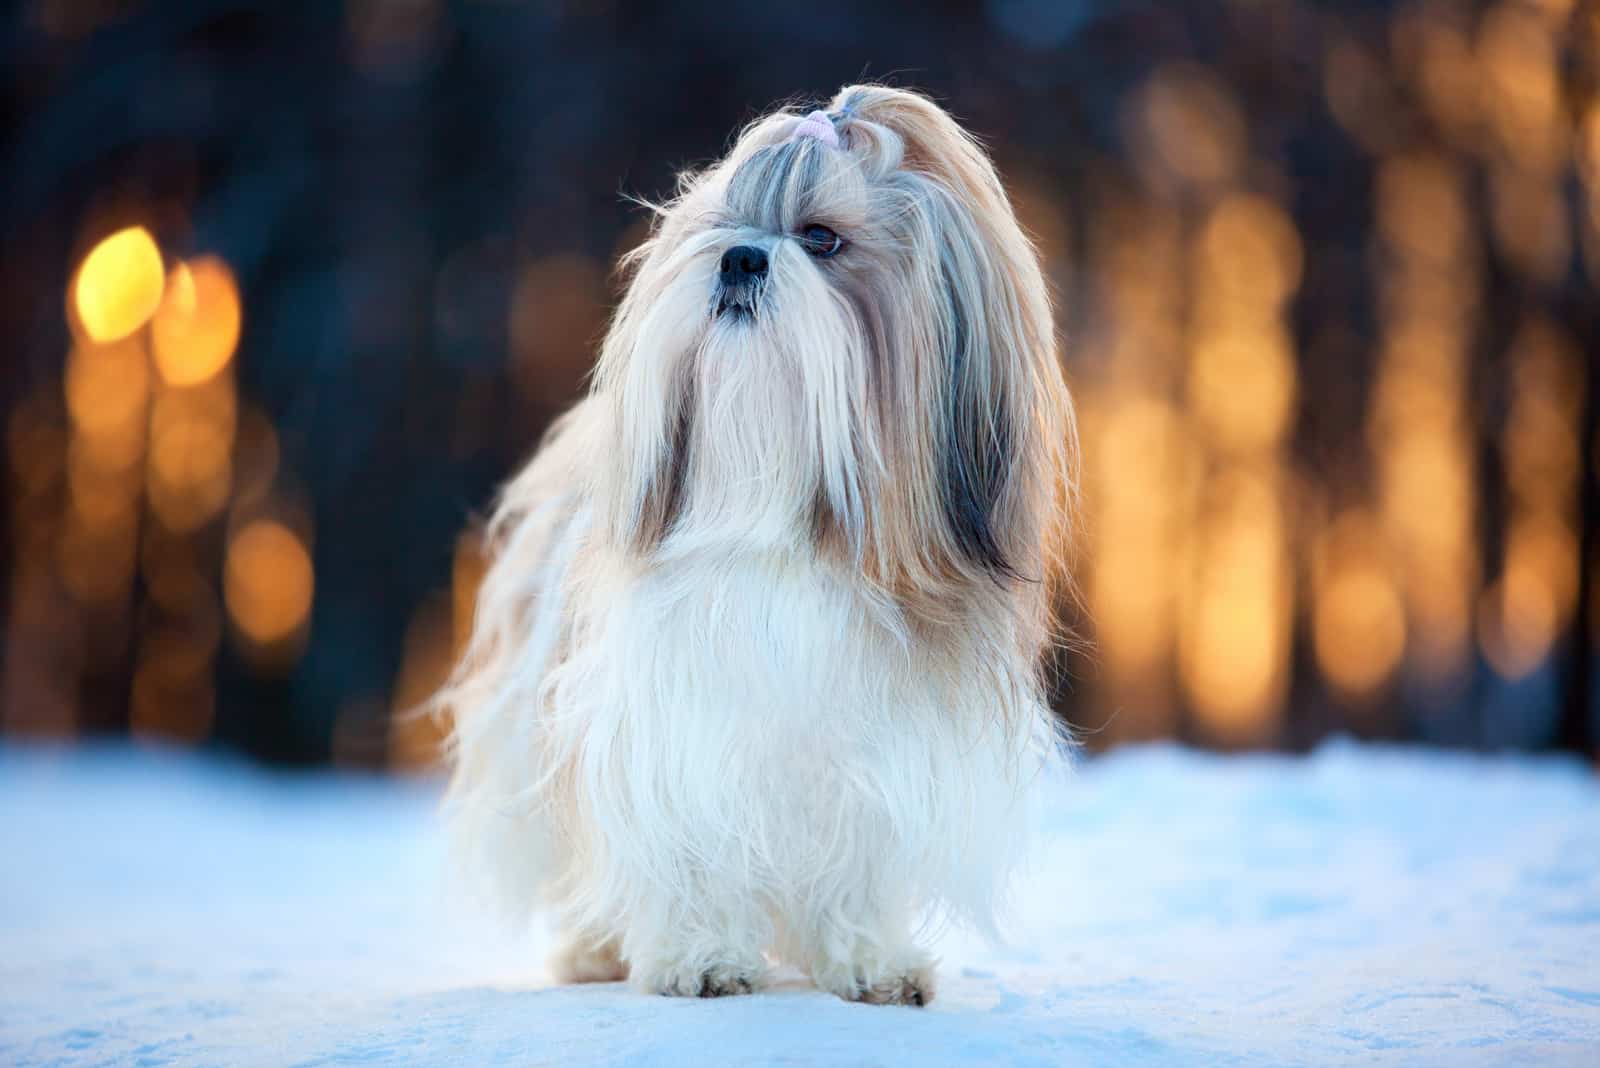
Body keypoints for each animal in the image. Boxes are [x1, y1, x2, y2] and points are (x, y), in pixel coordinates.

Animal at [441, 85, 1075, 1010]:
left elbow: (858, 850)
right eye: (723, 223)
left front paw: (867, 961)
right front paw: (700, 958)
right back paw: (596, 948)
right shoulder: (670, 722)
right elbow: (685, 842)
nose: (740, 259)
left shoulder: (880, 741)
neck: (775, 511)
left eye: (821, 237)